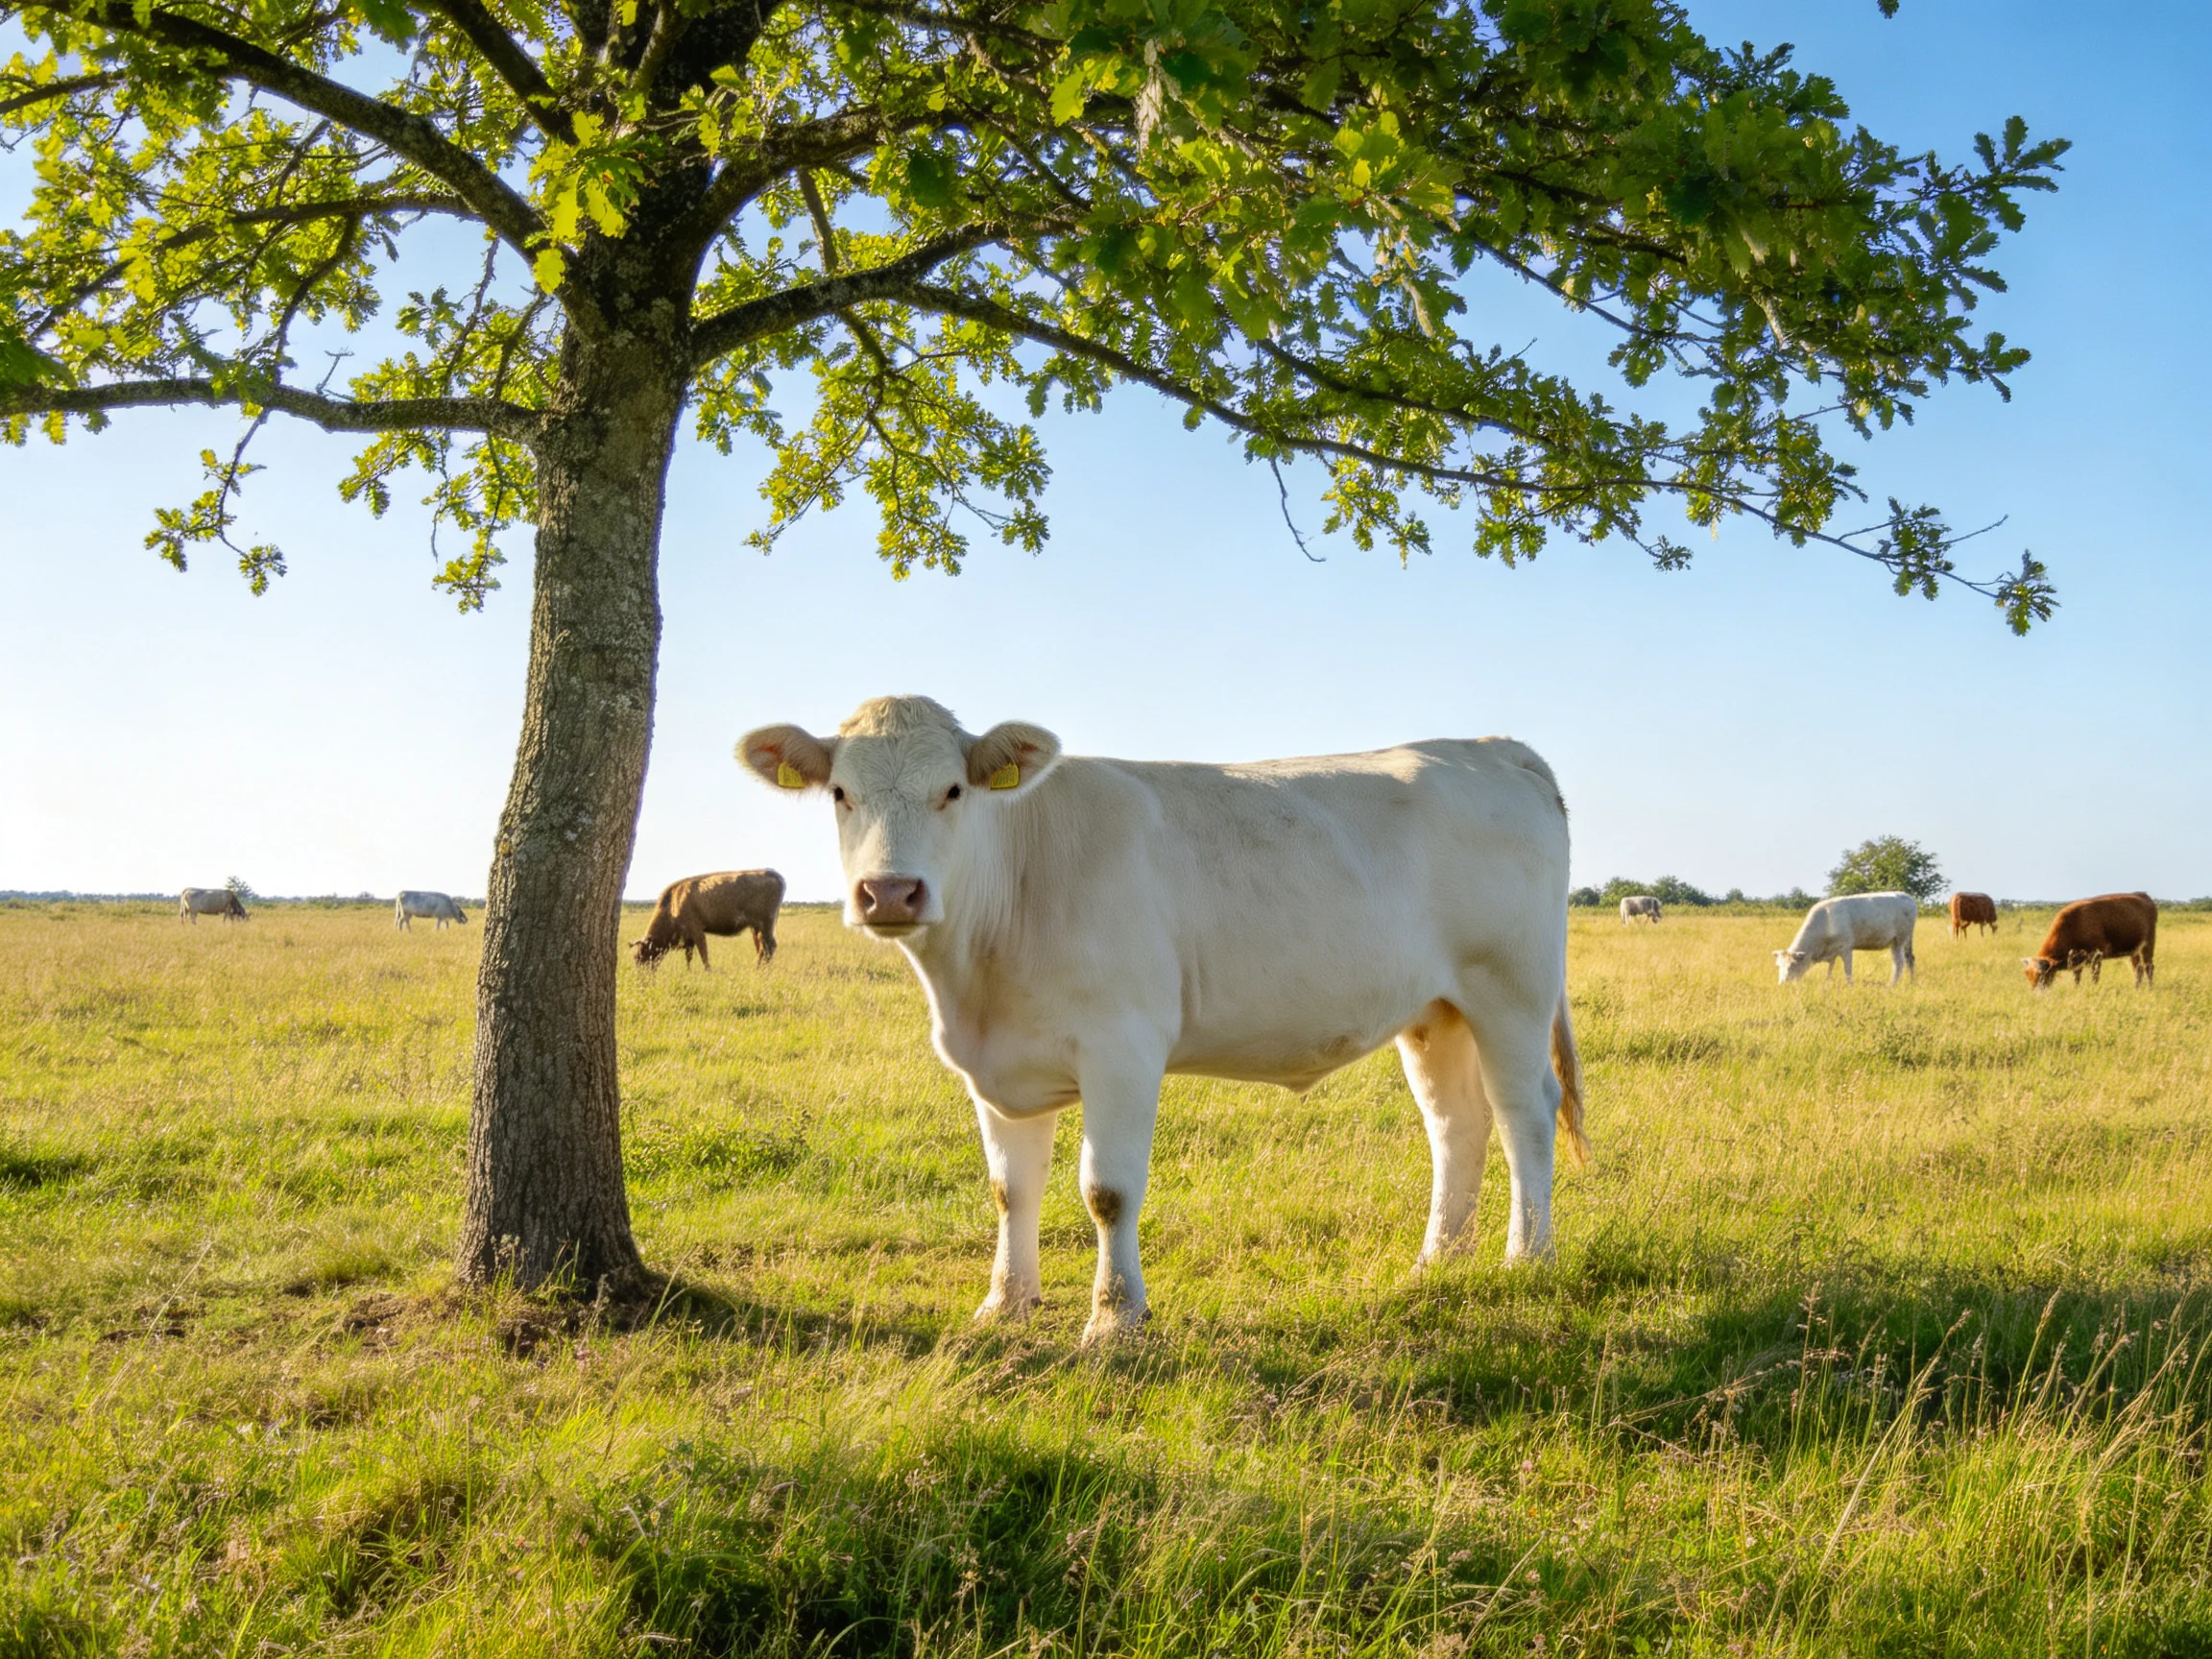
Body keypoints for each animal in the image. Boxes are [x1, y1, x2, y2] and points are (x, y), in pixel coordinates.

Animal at [630, 869, 785, 969]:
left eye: (641, 955)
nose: (642, 977)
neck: (672, 905)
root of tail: (772, 873)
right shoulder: (689, 939)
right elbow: (689, 957)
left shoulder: (697, 932)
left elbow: (704, 956)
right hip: (756, 927)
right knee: (762, 947)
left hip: (765, 925)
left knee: (768, 946)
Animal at [739, 696, 1587, 1344]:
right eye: (841, 794)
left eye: (953, 790)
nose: (889, 893)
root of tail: (1492, 748)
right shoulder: (998, 1067)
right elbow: (1010, 1189)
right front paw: (1004, 1305)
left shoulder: (1123, 1048)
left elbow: (1106, 1191)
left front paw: (1116, 1321)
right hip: (1435, 1010)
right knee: (1457, 1124)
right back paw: (1438, 1262)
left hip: (1510, 990)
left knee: (1524, 1114)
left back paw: (1526, 1258)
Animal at [1774, 892, 1917, 985]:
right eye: (1779, 965)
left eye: (1792, 965)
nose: (1782, 983)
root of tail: (1907, 896)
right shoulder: (1832, 952)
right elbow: (1830, 969)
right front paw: (1827, 984)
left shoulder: (1846, 948)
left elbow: (1848, 971)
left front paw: (1849, 986)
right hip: (1901, 941)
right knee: (1909, 959)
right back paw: (1911, 982)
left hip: (1899, 939)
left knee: (1899, 963)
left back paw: (1891, 985)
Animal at [2022, 893, 2157, 990]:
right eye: (2027, 975)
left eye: (2041, 976)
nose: (2035, 993)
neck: (2074, 924)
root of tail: (2144, 895)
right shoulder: (2077, 961)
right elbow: (2077, 977)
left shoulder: (2096, 957)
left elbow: (2094, 976)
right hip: (2134, 951)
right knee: (2138, 969)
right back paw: (2137, 988)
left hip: (2148, 946)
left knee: (2148, 967)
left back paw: (2150, 989)